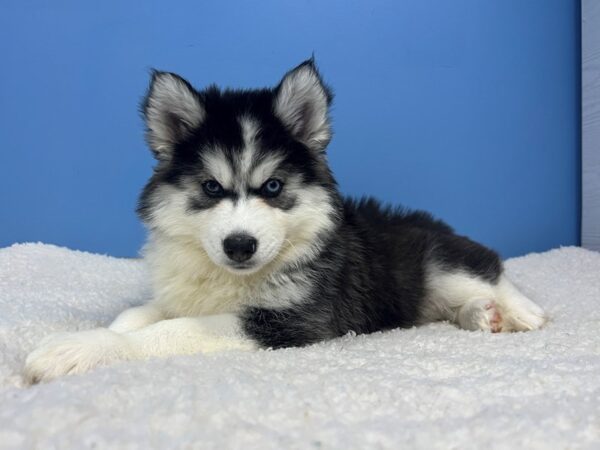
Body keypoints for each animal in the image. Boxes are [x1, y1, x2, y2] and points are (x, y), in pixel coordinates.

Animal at [23, 60, 548, 384]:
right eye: (211, 187)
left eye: (272, 186)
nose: (240, 245)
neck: (229, 279)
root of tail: (437, 226)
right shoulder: (177, 295)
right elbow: (137, 316)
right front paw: (94, 335)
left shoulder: (291, 322)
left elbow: (173, 331)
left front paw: (74, 350)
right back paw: (481, 316)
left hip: (437, 263)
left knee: (490, 271)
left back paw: (519, 311)